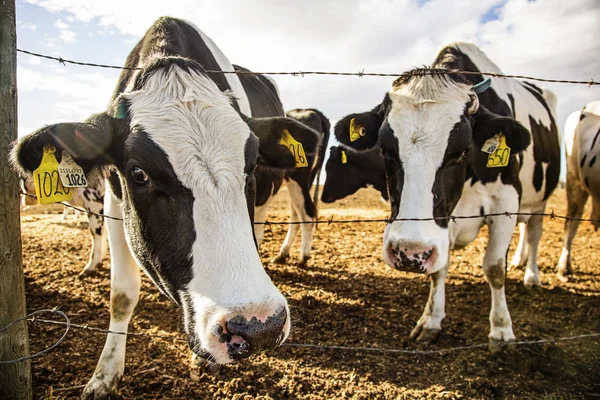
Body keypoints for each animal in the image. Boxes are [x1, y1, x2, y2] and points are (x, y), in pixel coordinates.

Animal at [11, 16, 322, 400]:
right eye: (138, 173)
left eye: (250, 165)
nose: (259, 326)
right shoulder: (112, 201)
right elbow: (121, 296)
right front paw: (104, 375)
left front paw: (202, 360)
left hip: (298, 177)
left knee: (304, 211)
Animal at [336, 42, 560, 346]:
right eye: (384, 149)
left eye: (463, 150)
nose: (409, 253)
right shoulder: (443, 224)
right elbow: (439, 268)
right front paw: (431, 320)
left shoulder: (506, 201)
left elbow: (494, 268)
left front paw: (501, 328)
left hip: (539, 200)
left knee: (534, 233)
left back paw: (531, 275)